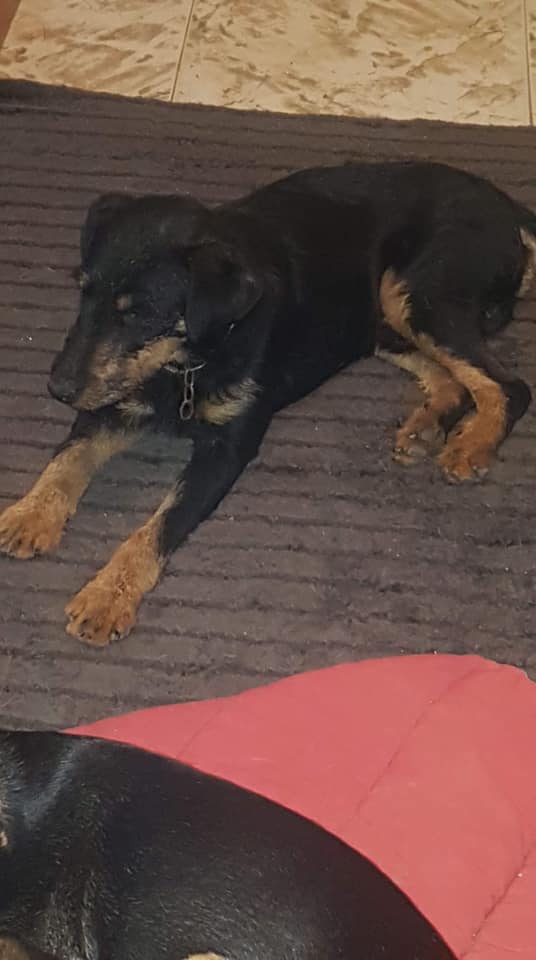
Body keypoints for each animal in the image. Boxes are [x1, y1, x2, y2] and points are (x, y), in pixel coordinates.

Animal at [0, 161, 534, 645]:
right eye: (83, 291)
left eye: (139, 314)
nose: (58, 388)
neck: (192, 359)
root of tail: (507, 206)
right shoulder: (114, 403)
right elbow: (67, 458)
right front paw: (29, 514)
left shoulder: (227, 449)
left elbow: (162, 523)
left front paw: (108, 596)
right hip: (377, 316)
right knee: (453, 379)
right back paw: (427, 427)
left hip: (417, 292)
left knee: (510, 387)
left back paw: (472, 444)